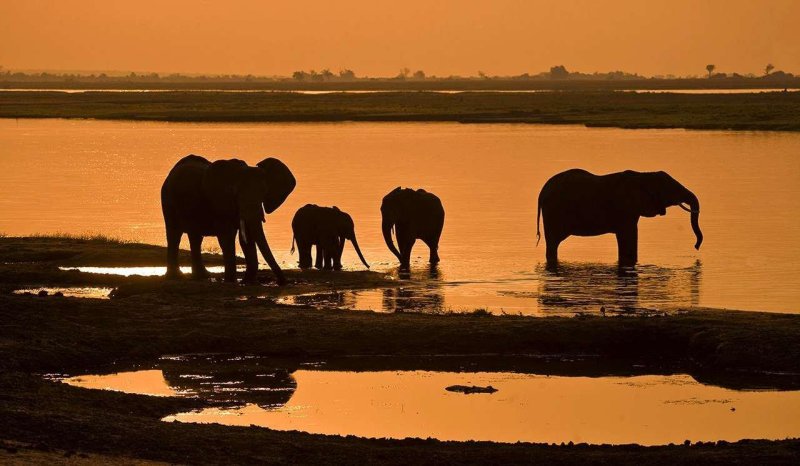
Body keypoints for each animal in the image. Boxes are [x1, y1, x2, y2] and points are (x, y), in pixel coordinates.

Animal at [161, 155, 296, 284]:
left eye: (264, 193)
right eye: (235, 193)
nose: (282, 282)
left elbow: (247, 237)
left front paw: (249, 282)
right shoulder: (220, 203)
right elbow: (227, 237)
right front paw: (231, 281)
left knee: (195, 237)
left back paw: (202, 276)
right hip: (168, 201)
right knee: (174, 235)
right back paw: (176, 277)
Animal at [536, 169, 700, 268]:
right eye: (670, 189)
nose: (696, 246)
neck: (644, 176)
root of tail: (542, 191)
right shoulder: (626, 209)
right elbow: (628, 235)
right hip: (553, 211)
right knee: (553, 243)